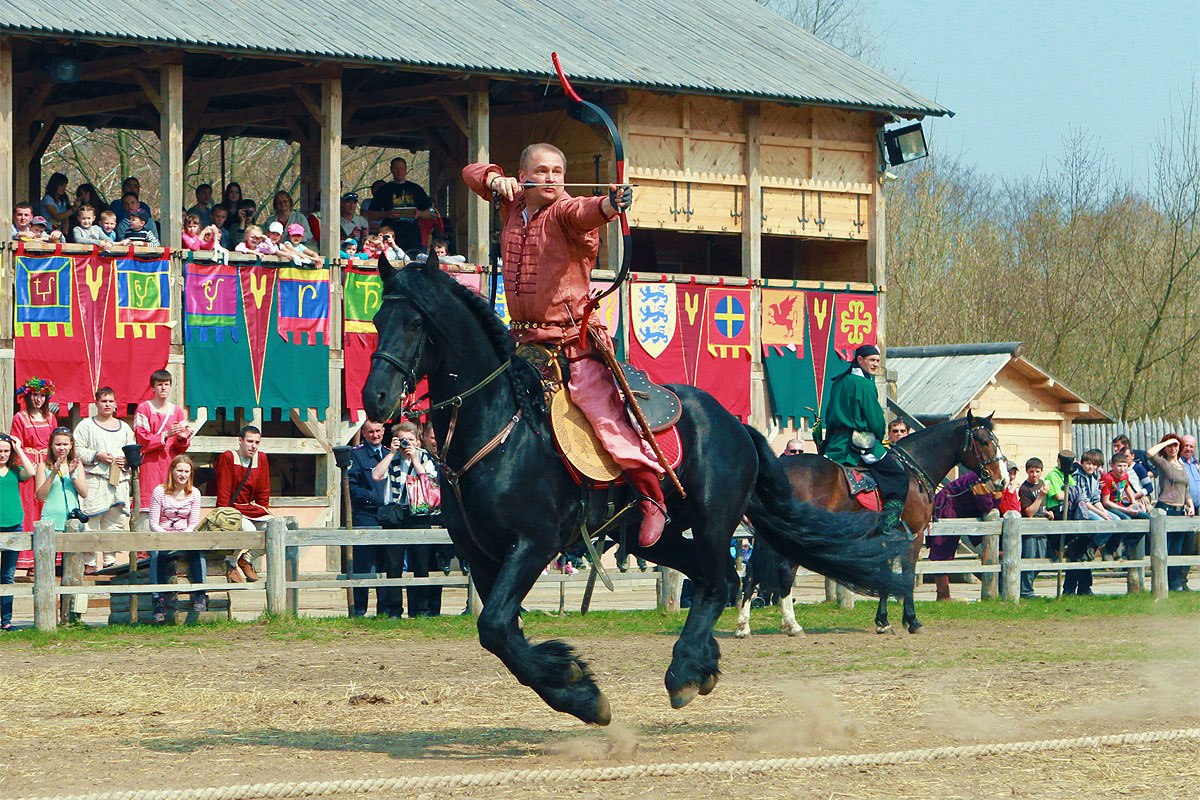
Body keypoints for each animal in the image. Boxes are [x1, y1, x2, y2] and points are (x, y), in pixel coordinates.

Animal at [360, 256, 902, 724]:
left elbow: (493, 626)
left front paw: (575, 685)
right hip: (657, 537)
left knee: (720, 582)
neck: (500, 428)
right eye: (377, 318)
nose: (375, 398)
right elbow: (502, 635)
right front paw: (573, 686)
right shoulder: (483, 556)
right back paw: (700, 664)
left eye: (415, 324)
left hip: (712, 522)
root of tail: (734, 423)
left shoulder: (534, 544)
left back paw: (685, 671)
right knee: (713, 579)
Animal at [734, 412, 1008, 638]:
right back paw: (792, 625)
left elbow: (884, 572)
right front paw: (912, 621)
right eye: (983, 441)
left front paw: (883, 621)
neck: (912, 471)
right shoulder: (914, 535)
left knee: (752, 572)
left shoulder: (884, 537)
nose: (1002, 480)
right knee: (785, 570)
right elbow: (907, 573)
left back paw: (743, 625)